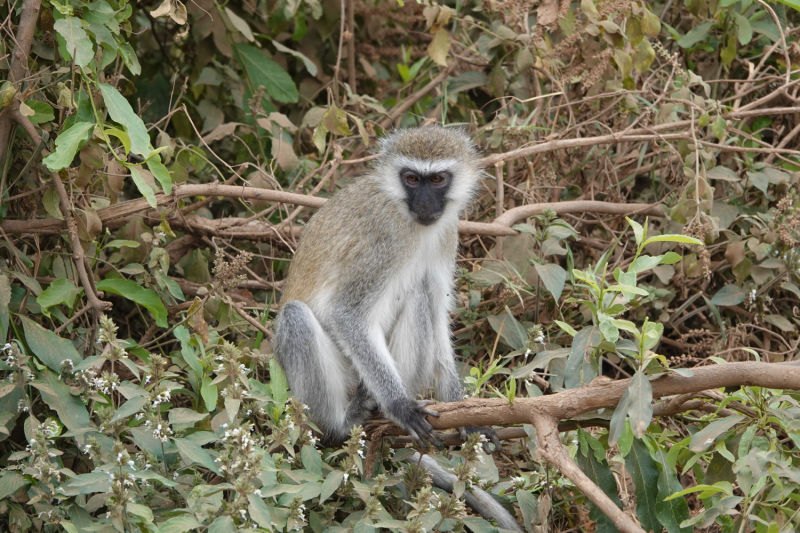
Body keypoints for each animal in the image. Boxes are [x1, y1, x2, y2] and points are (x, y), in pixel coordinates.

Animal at [276, 127, 524, 528]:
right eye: (411, 178)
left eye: (436, 180)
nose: (424, 203)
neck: (413, 224)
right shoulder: (383, 241)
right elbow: (347, 314)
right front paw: (401, 407)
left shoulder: (447, 235)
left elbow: (438, 313)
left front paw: (465, 415)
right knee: (295, 316)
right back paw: (345, 424)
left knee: (421, 294)